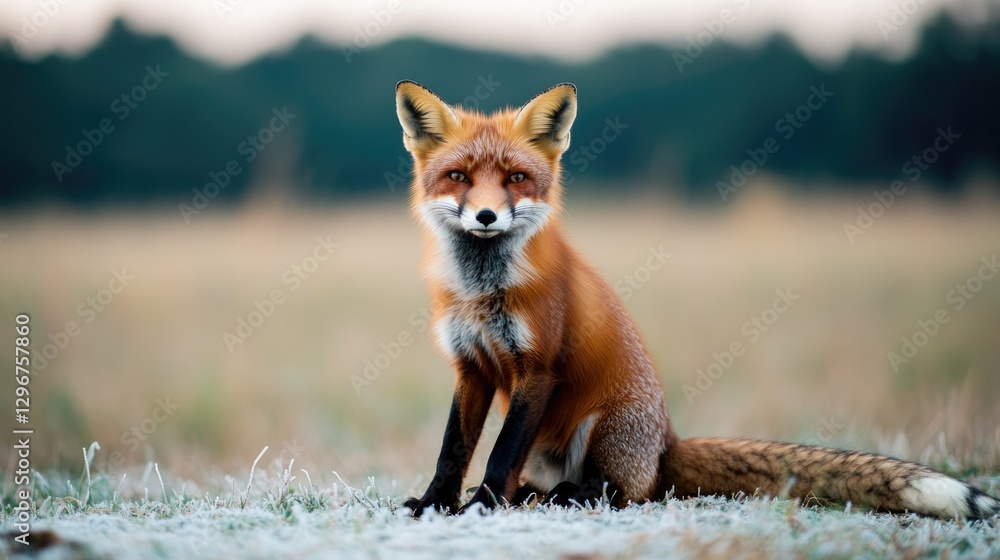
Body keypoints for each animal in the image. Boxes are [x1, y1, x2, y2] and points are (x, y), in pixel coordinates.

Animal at [393, 79, 1000, 519]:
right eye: (458, 176)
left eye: (516, 178)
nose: (486, 216)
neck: (483, 292)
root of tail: (667, 441)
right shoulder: (472, 366)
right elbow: (453, 449)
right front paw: (436, 503)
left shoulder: (536, 367)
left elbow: (498, 456)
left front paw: (481, 506)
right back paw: (533, 496)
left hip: (602, 429)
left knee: (621, 491)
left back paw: (568, 496)